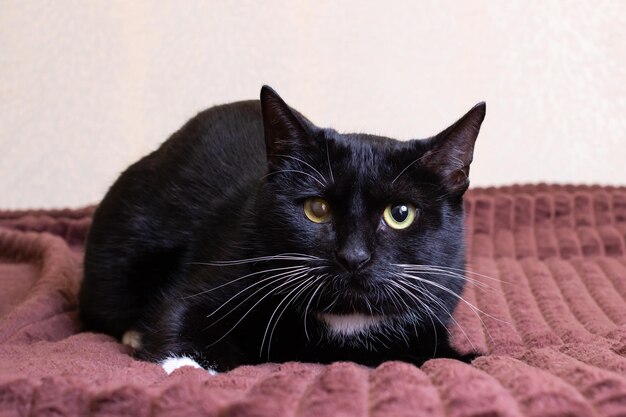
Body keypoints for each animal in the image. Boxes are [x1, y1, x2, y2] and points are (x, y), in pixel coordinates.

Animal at [79, 86, 482, 372]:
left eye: (400, 213)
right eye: (316, 209)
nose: (353, 256)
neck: (345, 318)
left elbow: (446, 356)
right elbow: (178, 313)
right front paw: (184, 366)